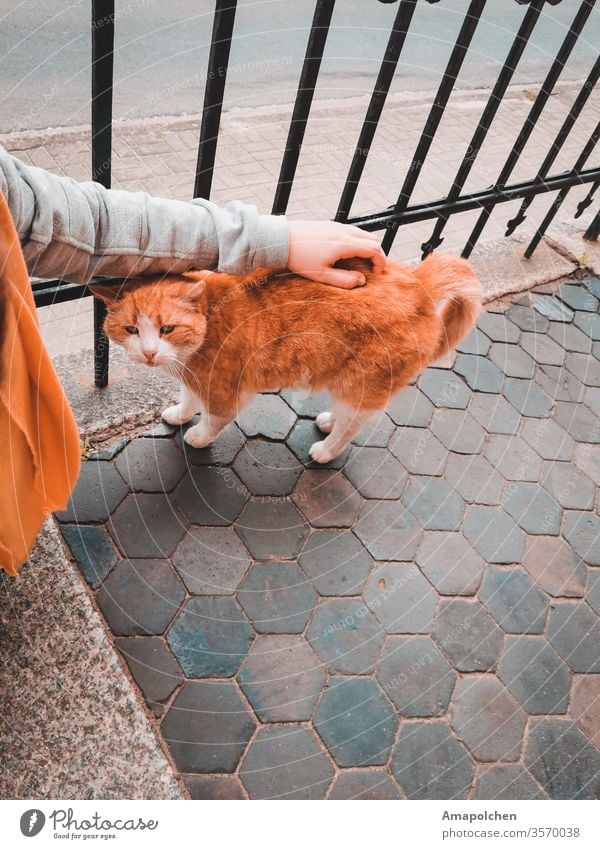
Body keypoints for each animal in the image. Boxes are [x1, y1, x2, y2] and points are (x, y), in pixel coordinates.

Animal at [90, 253, 482, 460]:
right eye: (131, 329)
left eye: (167, 328)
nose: (149, 352)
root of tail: (420, 284)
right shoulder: (193, 377)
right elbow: (188, 398)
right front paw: (179, 414)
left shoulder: (224, 390)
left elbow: (214, 419)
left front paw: (197, 436)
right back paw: (328, 421)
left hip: (362, 385)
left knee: (352, 426)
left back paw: (326, 449)